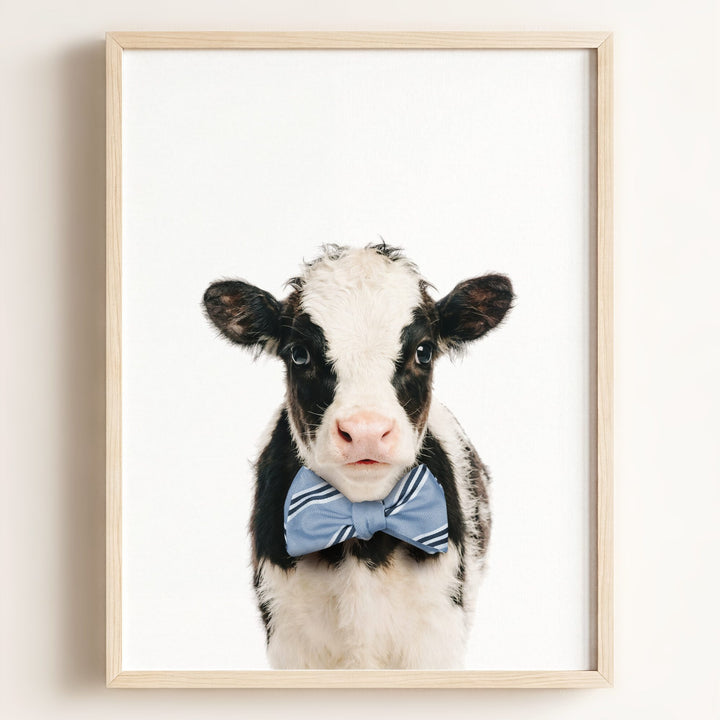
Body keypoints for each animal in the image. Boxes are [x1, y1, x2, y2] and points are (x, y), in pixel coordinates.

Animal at [203, 243, 513, 669]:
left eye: (423, 351)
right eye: (299, 354)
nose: (366, 431)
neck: (362, 544)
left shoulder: (437, 636)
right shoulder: (290, 639)